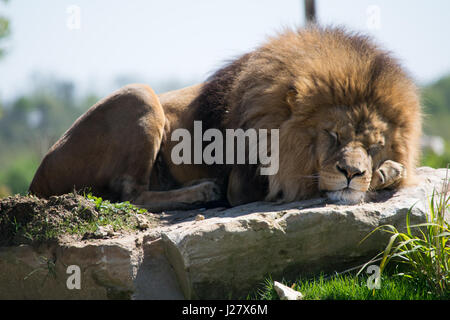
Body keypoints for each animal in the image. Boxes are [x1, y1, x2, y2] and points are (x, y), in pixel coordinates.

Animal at [28, 26, 422, 209]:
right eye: (332, 135)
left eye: (374, 145)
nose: (352, 173)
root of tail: (36, 180)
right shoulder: (245, 184)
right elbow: (301, 180)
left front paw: (386, 172)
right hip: (140, 94)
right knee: (131, 194)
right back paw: (203, 190)